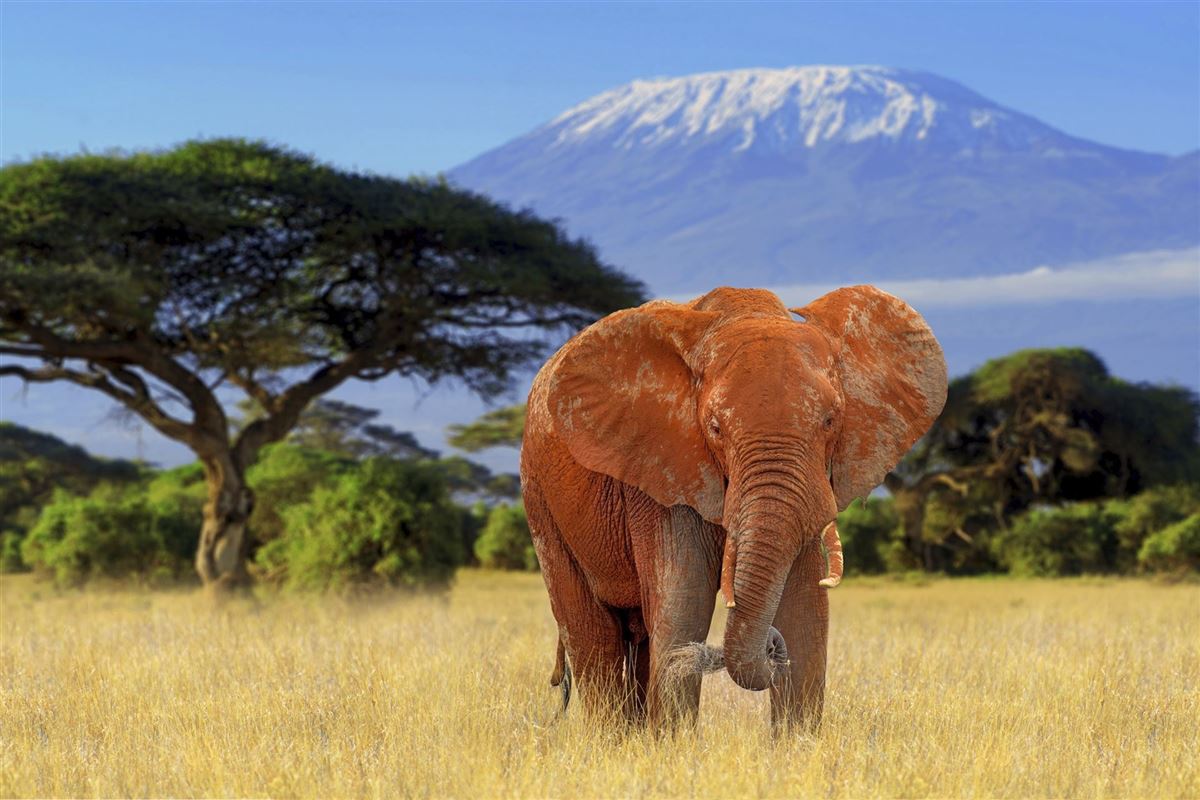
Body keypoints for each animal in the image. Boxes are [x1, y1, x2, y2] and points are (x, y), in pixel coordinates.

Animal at [520, 285, 947, 730]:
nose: (770, 647)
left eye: (831, 420)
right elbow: (684, 605)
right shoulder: (663, 470)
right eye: (715, 428)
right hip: (540, 498)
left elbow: (804, 612)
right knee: (593, 635)